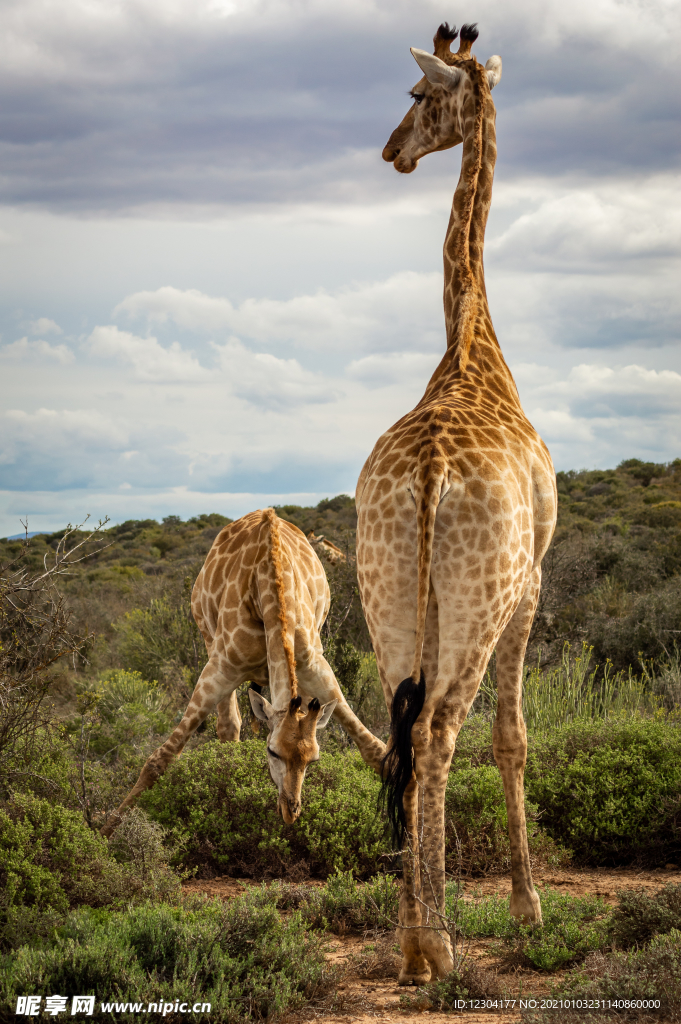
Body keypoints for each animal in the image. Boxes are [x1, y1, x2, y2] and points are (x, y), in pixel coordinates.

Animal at [102, 512, 385, 839]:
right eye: (272, 752)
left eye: (313, 759)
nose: (290, 812)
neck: (270, 586)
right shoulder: (220, 668)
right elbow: (160, 758)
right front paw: (105, 832)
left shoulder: (315, 665)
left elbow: (375, 750)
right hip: (208, 640)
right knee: (228, 727)